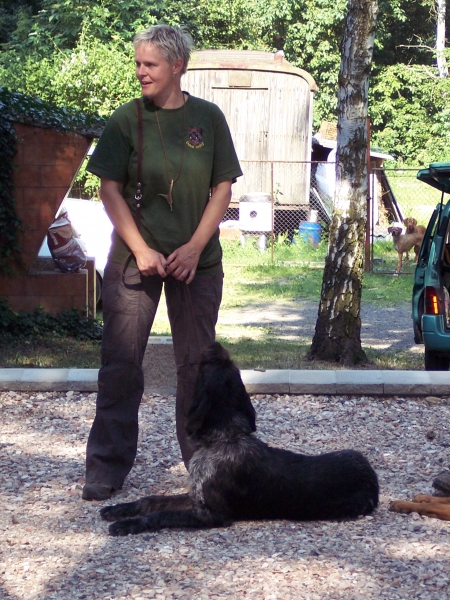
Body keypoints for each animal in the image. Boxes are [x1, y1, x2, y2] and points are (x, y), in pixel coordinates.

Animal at [100, 342, 379, 536]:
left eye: (206, 367)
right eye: (229, 367)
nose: (215, 344)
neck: (225, 437)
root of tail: (373, 480)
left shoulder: (212, 514)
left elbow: (161, 516)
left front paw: (129, 524)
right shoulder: (195, 496)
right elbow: (152, 500)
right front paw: (119, 510)